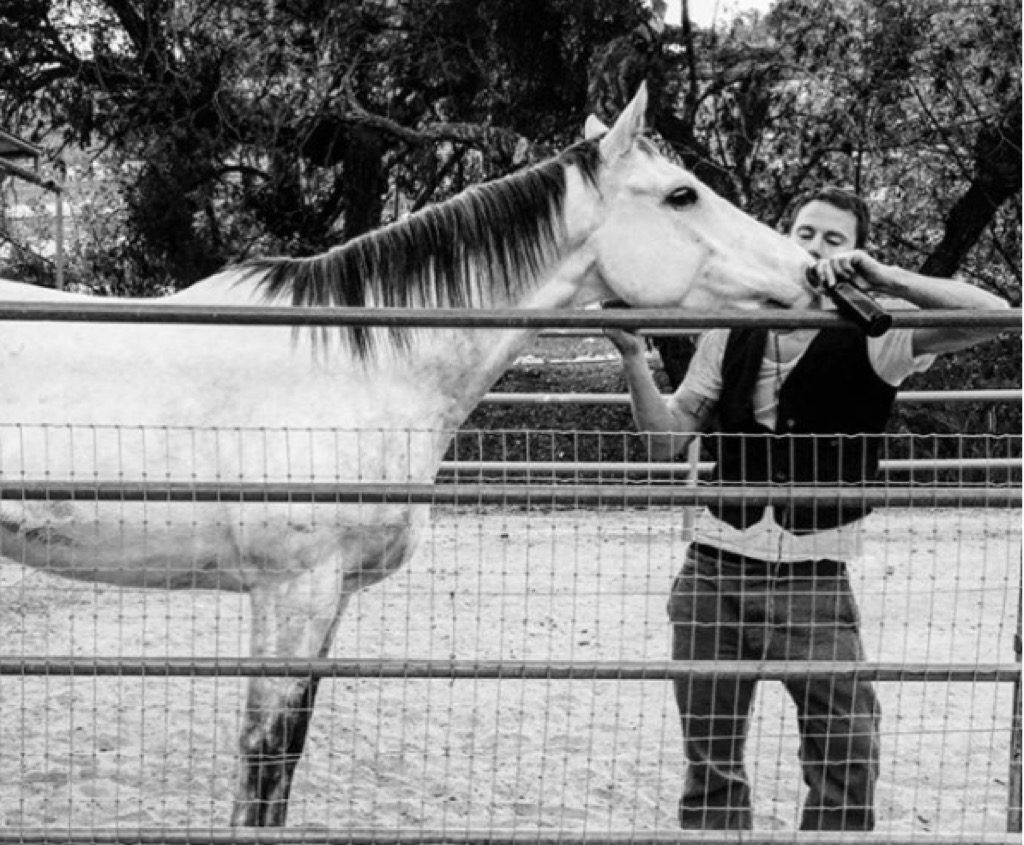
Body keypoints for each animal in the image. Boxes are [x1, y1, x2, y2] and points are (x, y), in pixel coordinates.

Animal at [0, 85, 815, 826]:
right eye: (683, 194)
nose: (808, 271)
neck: (350, 369)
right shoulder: (294, 592)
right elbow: (264, 760)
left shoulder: (328, 601)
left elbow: (286, 760)